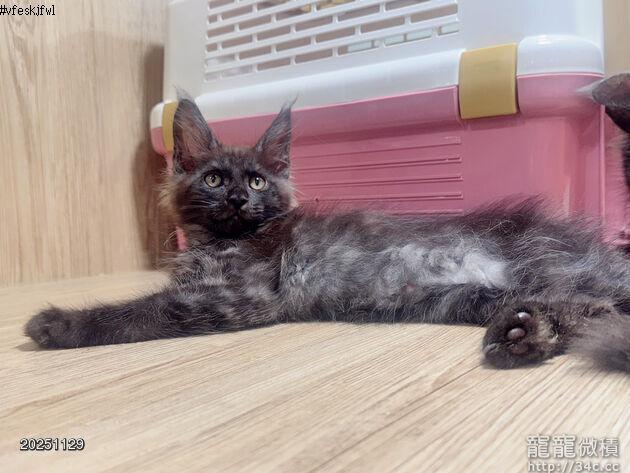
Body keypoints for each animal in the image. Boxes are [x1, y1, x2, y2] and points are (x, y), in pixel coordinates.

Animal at [25, 94, 630, 372]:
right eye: (214, 178)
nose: (239, 199)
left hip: (548, 266)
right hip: (486, 294)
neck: (222, 239)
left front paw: (57, 324)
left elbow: (142, 310)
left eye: (258, 180)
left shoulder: (242, 295)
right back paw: (528, 335)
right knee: (594, 311)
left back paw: (527, 335)